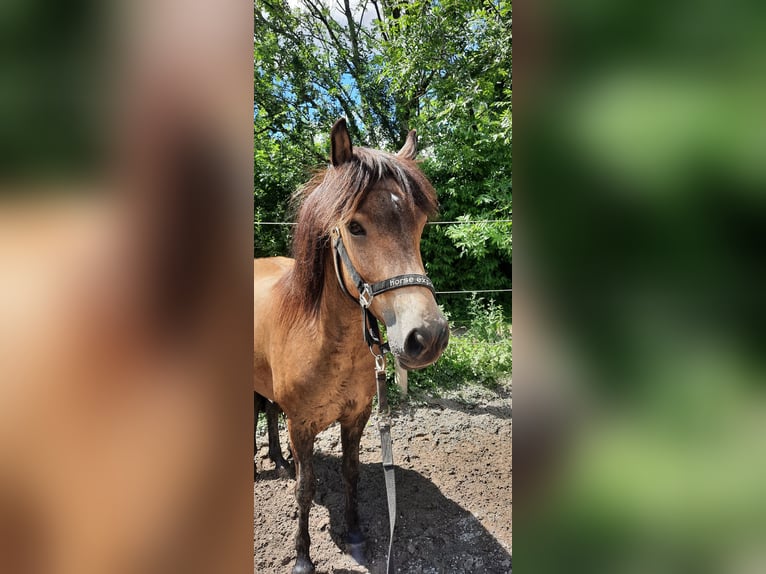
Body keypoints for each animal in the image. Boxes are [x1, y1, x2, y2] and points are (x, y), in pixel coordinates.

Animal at [255, 118, 450, 574]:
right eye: (356, 227)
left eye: (419, 224)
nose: (428, 336)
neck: (324, 343)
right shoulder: (301, 425)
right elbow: (306, 489)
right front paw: (302, 556)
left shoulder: (356, 416)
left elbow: (351, 472)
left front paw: (356, 534)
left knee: (269, 411)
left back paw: (279, 458)